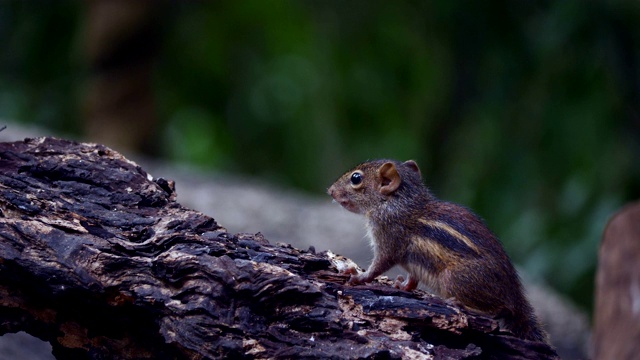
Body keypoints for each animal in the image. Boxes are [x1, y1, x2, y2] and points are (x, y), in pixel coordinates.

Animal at [330, 159, 544, 342]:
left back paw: (460, 304)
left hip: (454, 278)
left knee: (497, 310)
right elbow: (412, 278)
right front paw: (402, 285)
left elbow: (379, 265)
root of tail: (515, 295)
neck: (397, 202)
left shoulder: (388, 236)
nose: (330, 190)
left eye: (356, 178)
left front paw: (358, 276)